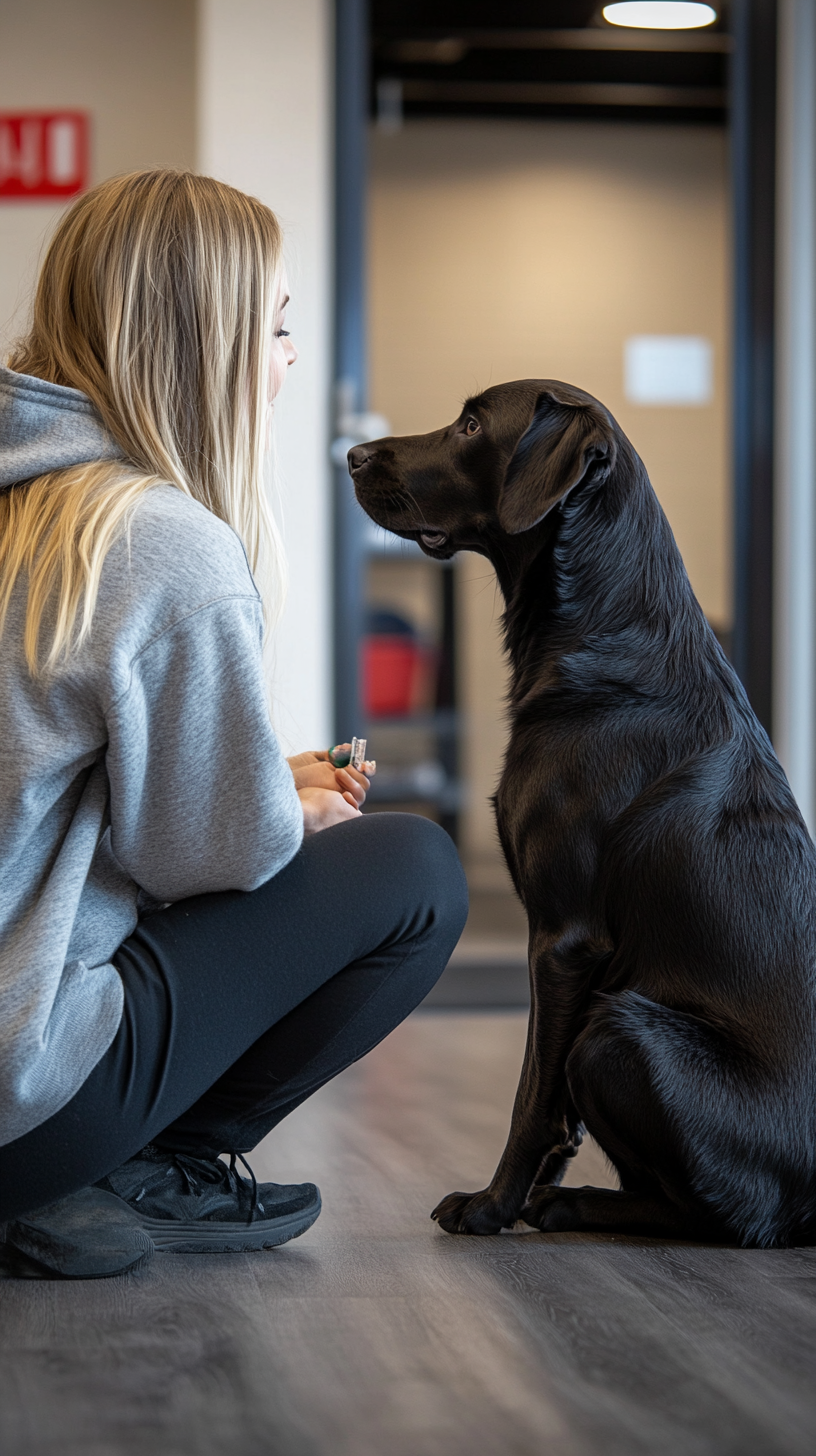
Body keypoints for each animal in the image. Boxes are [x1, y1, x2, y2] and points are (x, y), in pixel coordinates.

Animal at [351, 381, 816, 1246]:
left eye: (471, 424)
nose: (353, 453)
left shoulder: (564, 939)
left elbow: (532, 1095)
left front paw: (491, 1206)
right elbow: (556, 1113)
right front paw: (523, 1192)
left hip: (617, 1029)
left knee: (730, 1216)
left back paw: (574, 1206)